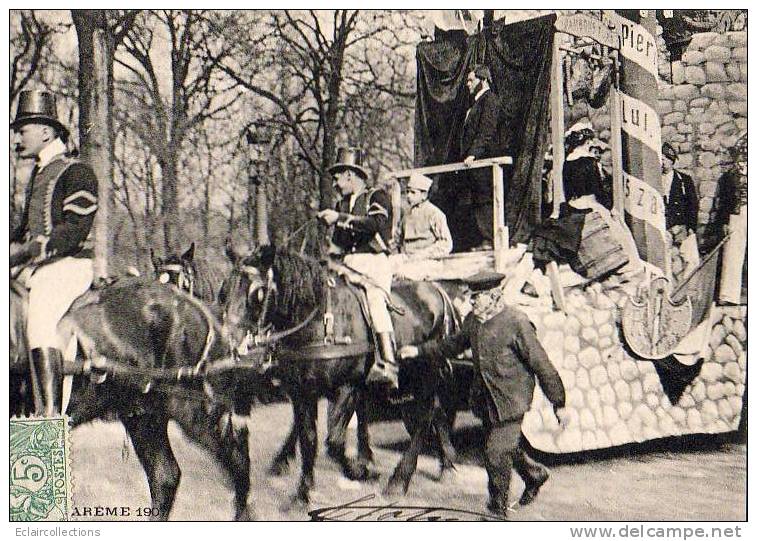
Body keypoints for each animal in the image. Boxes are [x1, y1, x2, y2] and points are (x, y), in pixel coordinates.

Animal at [216, 243, 458, 504]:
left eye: (257, 292)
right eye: (224, 290)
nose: (229, 341)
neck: (320, 322)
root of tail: (437, 290)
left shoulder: (347, 387)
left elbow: (334, 441)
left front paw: (359, 471)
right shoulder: (303, 392)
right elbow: (308, 438)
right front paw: (303, 492)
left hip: (426, 374)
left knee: (424, 418)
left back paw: (399, 479)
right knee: (435, 412)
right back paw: (446, 464)